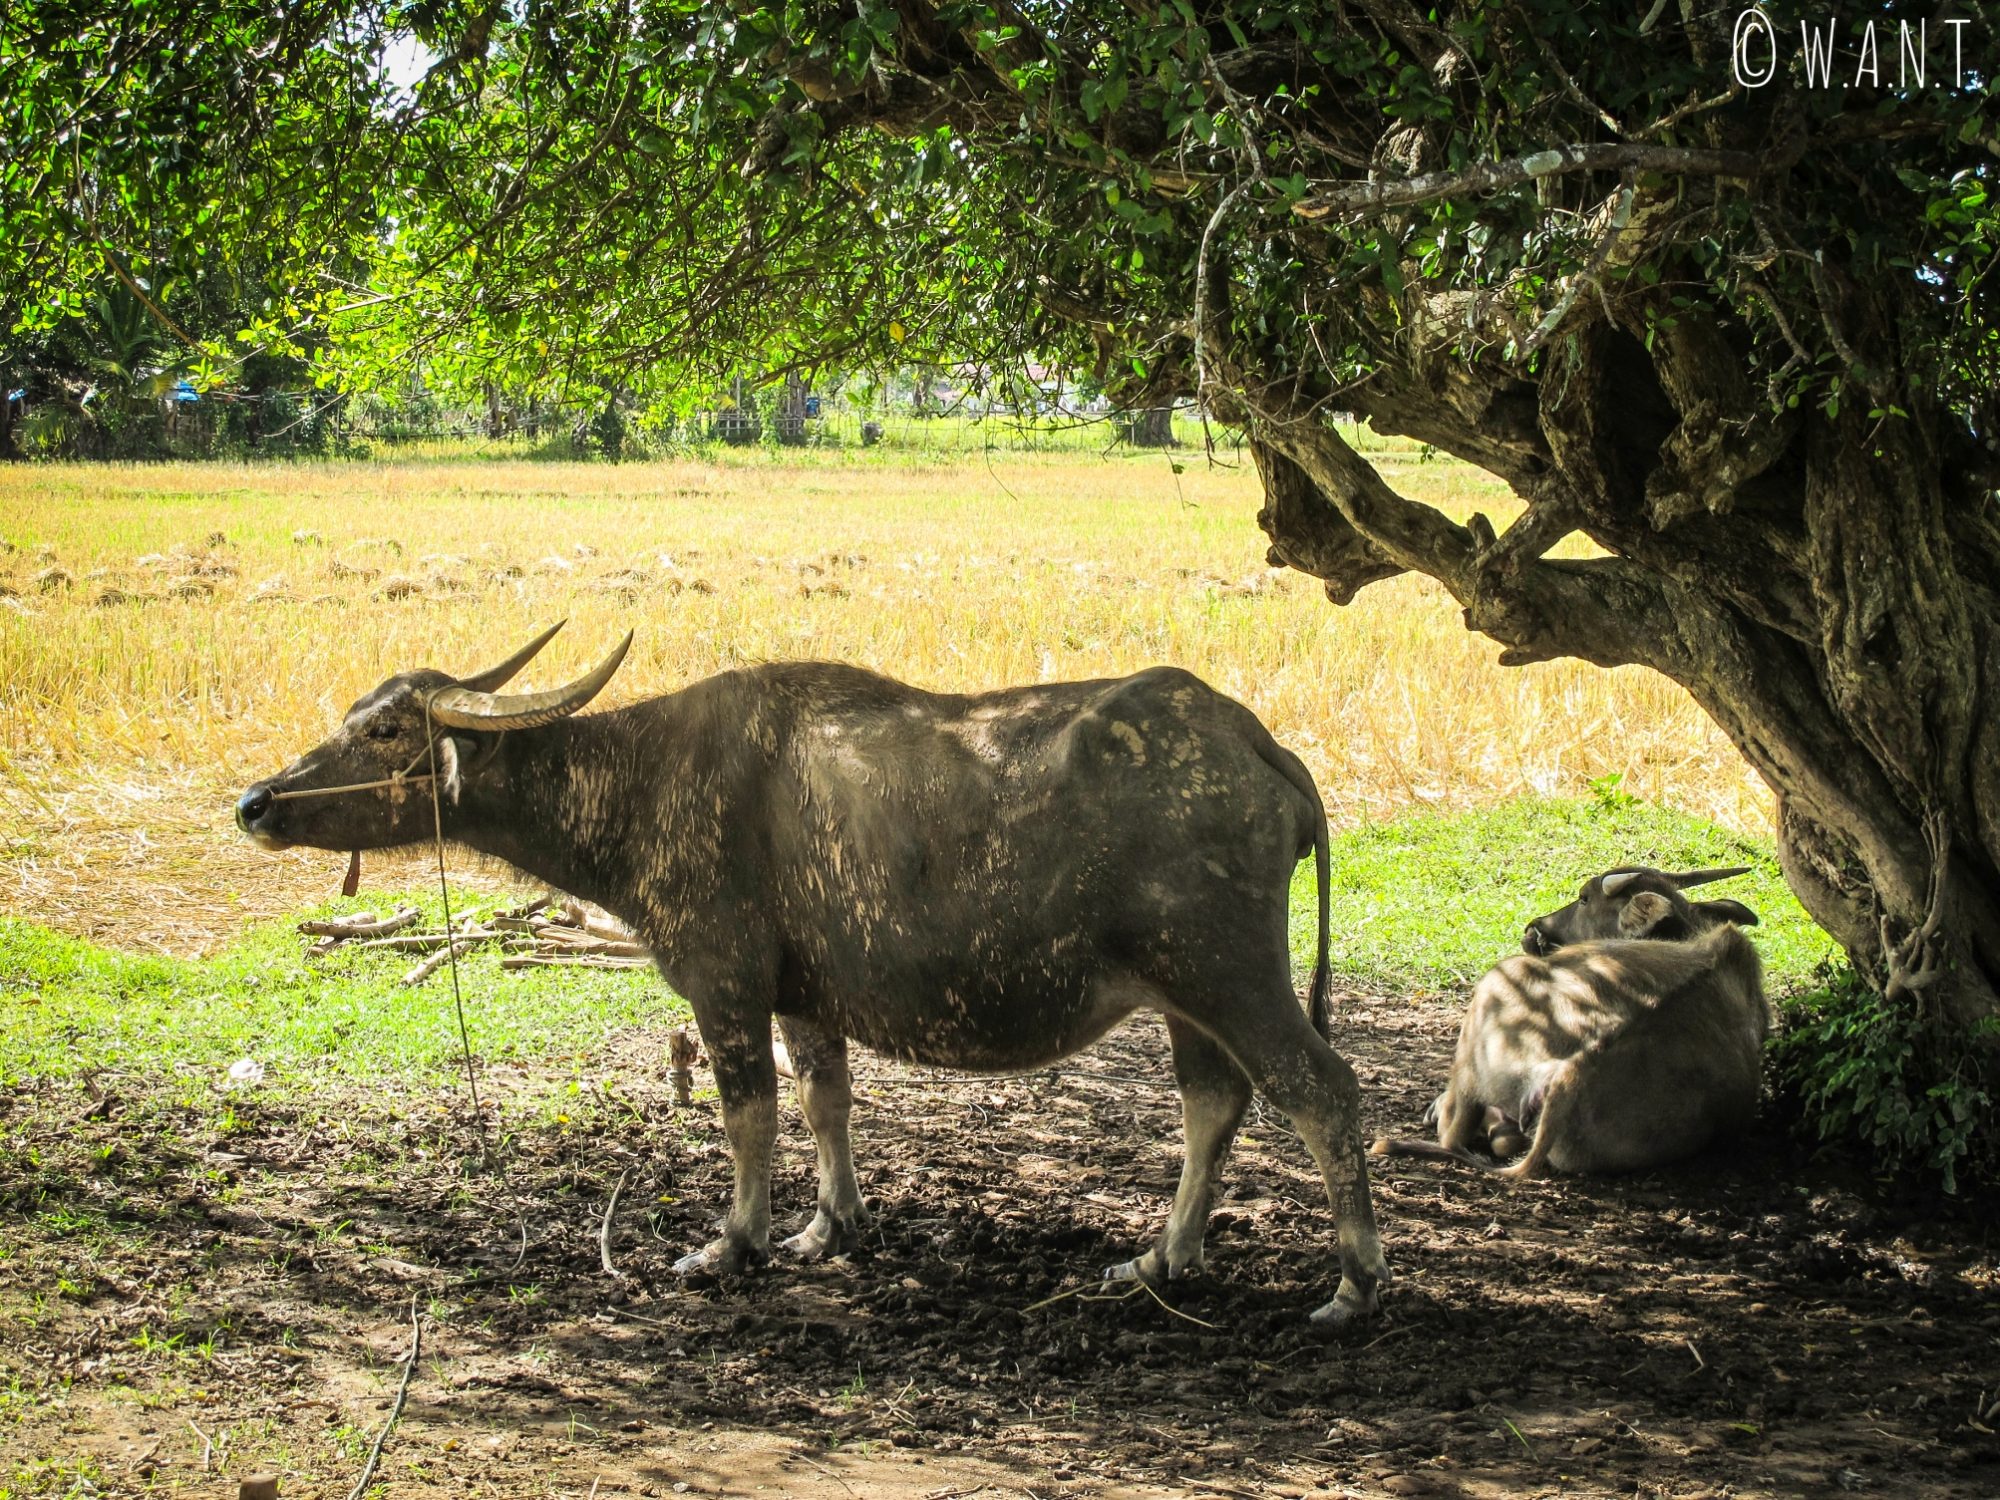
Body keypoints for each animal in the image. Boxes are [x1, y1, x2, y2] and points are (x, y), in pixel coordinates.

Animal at [238, 624, 1392, 1328]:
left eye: (387, 728)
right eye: (355, 711)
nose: (256, 802)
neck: (643, 780)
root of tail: (1259, 746)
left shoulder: (723, 985)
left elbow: (746, 1113)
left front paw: (729, 1243)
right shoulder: (805, 1001)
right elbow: (823, 1100)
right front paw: (826, 1227)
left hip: (1230, 974)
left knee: (1321, 1093)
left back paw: (1353, 1285)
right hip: (1183, 997)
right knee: (1214, 1101)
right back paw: (1160, 1259)